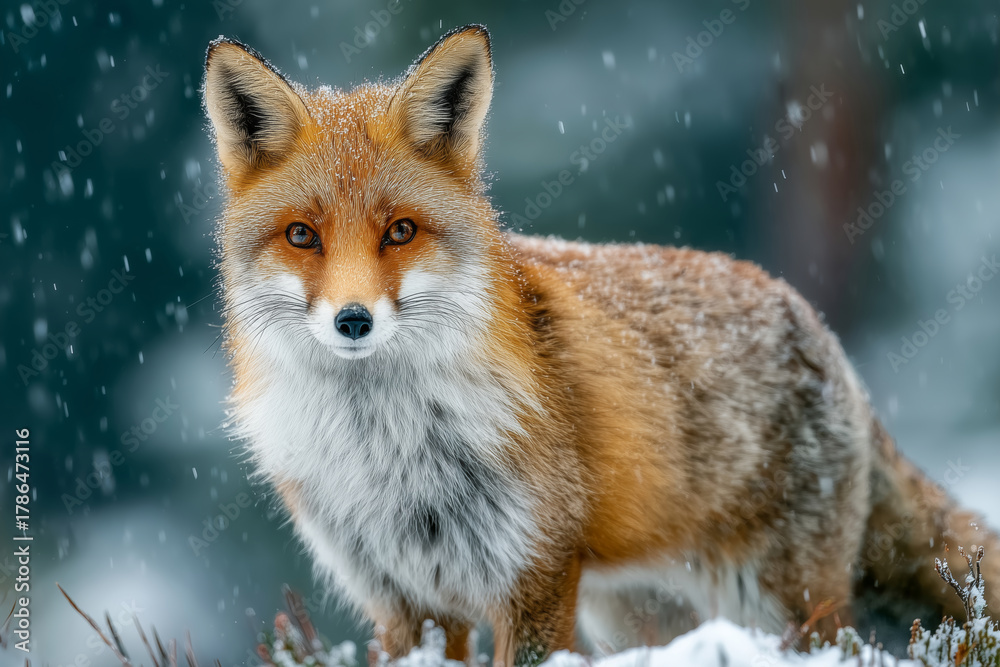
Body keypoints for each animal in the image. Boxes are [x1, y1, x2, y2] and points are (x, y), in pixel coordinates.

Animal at [203, 24, 1000, 666]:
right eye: (302, 235)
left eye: (400, 230)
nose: (353, 321)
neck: (386, 451)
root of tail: (815, 323)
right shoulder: (402, 601)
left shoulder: (535, 574)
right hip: (638, 616)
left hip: (781, 605)